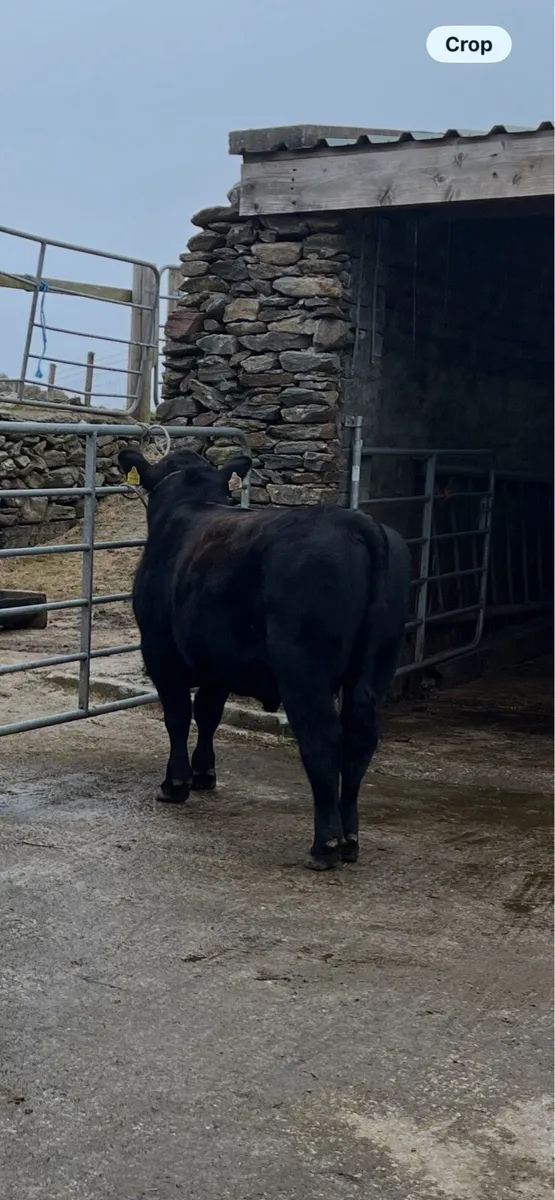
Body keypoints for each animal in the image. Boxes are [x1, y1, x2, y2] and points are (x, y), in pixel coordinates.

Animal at [118, 446, 410, 870]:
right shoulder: (217, 661)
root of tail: (357, 521)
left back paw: (325, 845)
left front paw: (175, 784)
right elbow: (209, 713)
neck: (187, 505)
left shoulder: (159, 650)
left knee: (323, 739)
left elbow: (178, 715)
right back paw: (350, 839)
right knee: (360, 737)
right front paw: (204, 773)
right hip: (379, 662)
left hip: (303, 666)